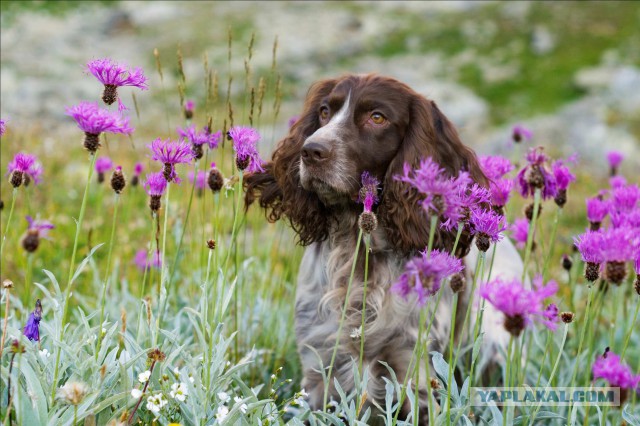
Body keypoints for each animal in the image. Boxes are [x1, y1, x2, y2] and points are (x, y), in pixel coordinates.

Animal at [245, 74, 520, 422]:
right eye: (324, 111)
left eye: (377, 117)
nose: (310, 151)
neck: (360, 252)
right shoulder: (319, 366)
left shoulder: (414, 370)